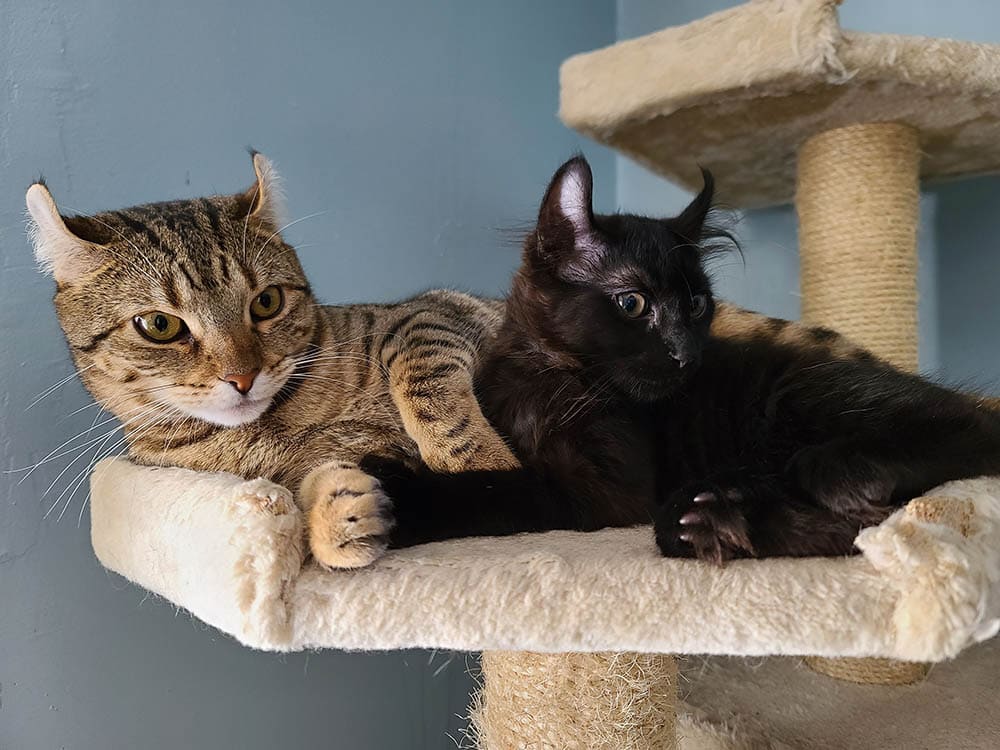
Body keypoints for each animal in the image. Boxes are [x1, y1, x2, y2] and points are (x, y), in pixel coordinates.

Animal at [27, 153, 520, 568]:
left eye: (266, 302)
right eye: (159, 325)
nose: (243, 377)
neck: (270, 428)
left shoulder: (428, 314)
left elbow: (424, 387)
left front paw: (483, 463)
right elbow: (311, 487)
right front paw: (338, 514)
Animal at [368, 156, 1000, 564]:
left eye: (697, 304)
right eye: (632, 303)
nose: (686, 353)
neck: (551, 375)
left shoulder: (604, 488)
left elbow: (497, 490)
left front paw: (399, 498)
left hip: (797, 395)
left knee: (967, 428)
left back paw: (836, 471)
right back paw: (721, 518)